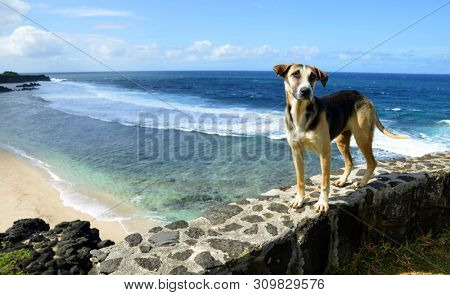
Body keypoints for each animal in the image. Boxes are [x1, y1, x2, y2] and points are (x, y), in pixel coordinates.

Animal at [272, 64, 410, 213]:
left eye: (313, 76)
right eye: (295, 74)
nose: (306, 91)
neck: (300, 113)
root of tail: (362, 96)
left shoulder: (324, 153)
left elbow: (324, 182)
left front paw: (323, 203)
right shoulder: (296, 152)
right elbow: (300, 180)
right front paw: (299, 199)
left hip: (362, 137)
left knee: (372, 162)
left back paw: (362, 182)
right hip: (341, 140)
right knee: (349, 161)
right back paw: (343, 180)